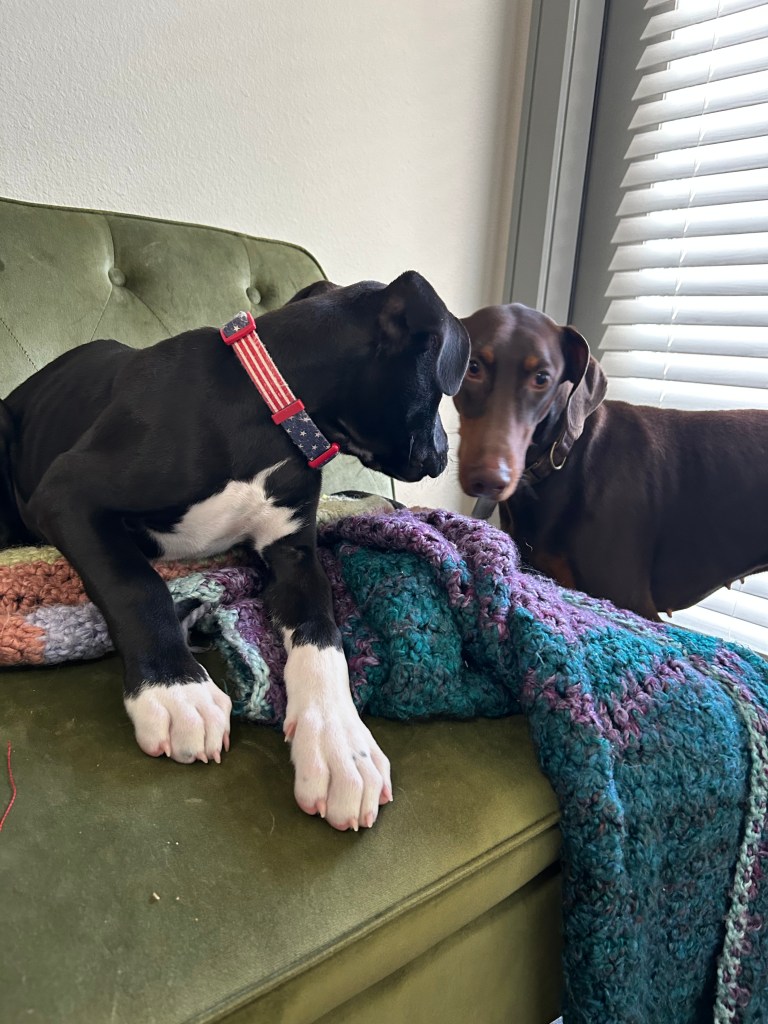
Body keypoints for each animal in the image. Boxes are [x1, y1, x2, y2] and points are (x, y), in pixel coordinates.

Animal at [0, 271, 470, 830]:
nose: (445, 453)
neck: (272, 414)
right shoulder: (66, 495)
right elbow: (135, 583)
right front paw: (174, 686)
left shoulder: (294, 556)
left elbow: (323, 634)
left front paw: (341, 747)